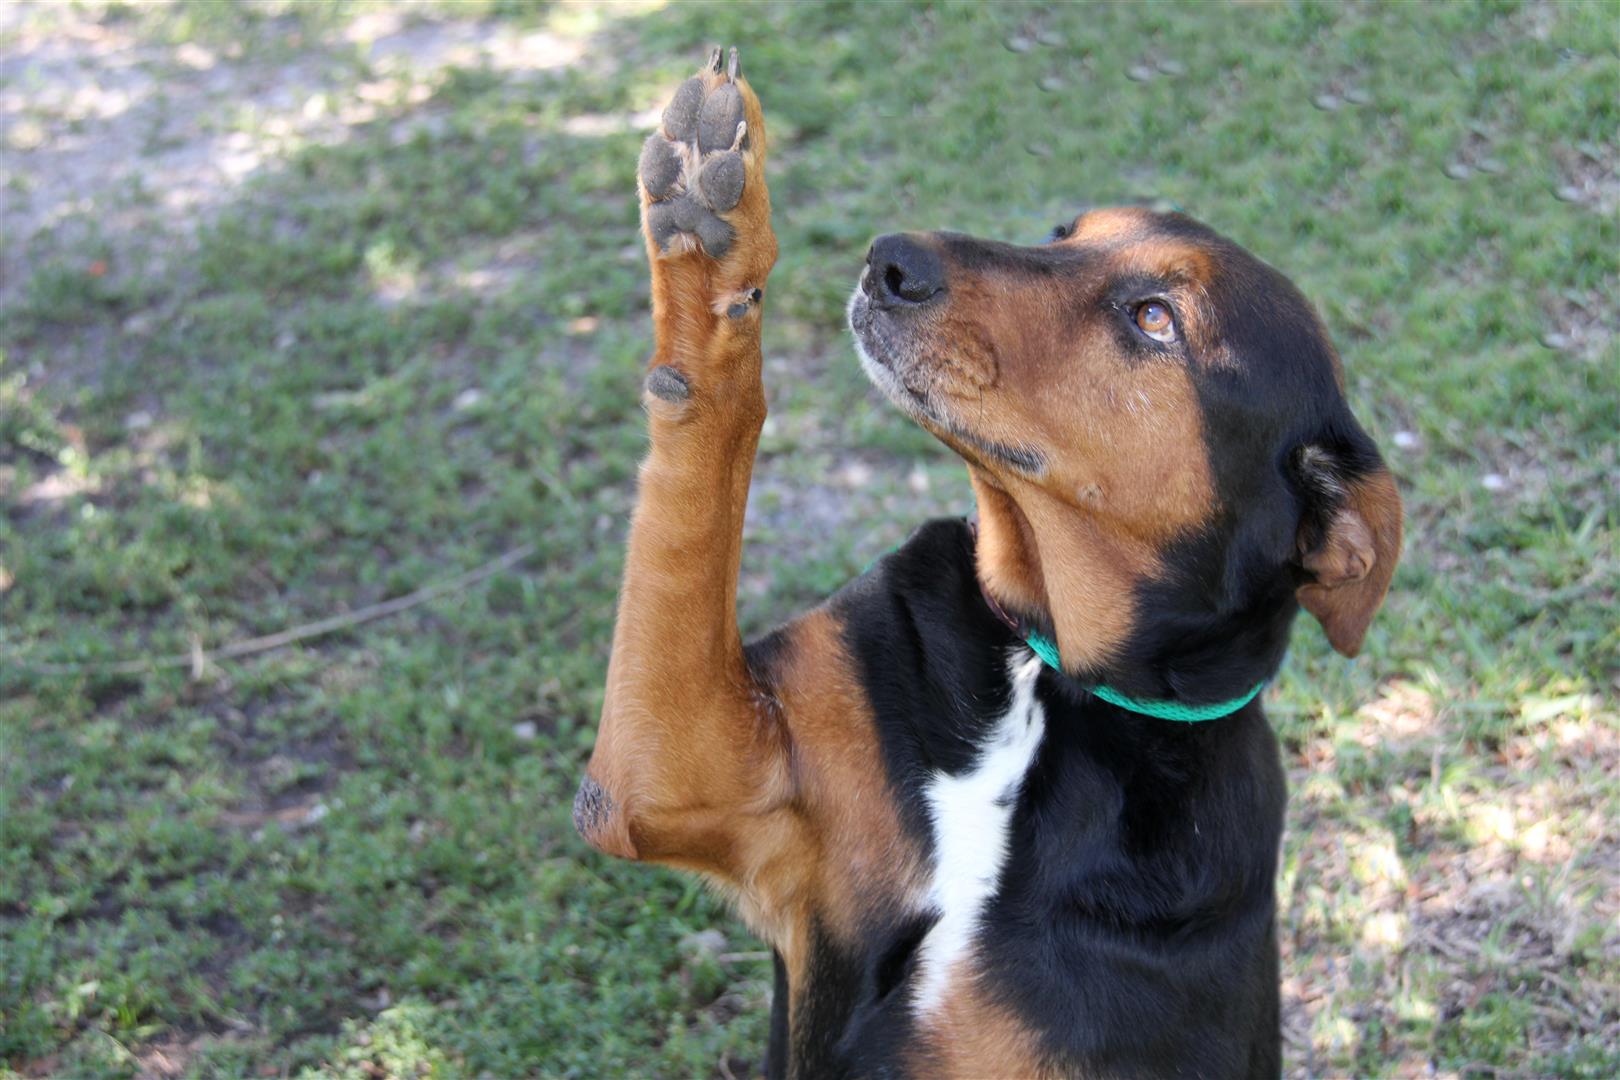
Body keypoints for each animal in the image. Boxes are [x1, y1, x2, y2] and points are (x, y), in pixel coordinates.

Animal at [576, 50, 1399, 1080]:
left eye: (1154, 318)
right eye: (1063, 235)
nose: (889, 259)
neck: (1042, 675)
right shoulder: (671, 767)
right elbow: (703, 465)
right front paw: (707, 223)